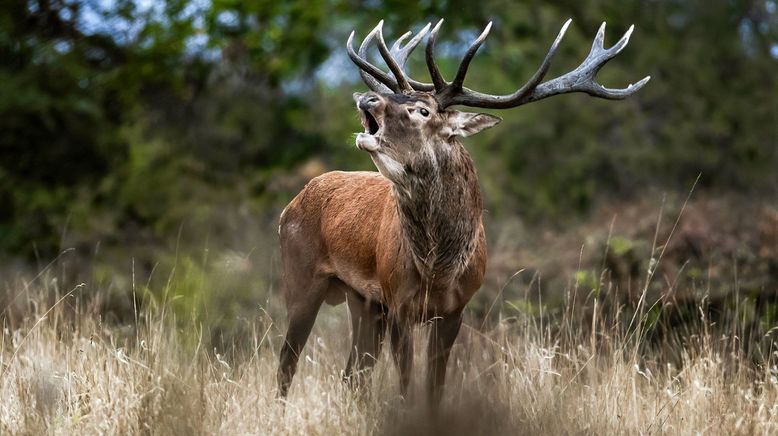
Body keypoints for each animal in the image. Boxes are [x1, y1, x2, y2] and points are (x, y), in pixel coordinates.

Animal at [276, 17, 644, 406]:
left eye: (422, 110)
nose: (366, 97)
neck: (438, 270)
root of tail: (291, 204)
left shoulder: (455, 310)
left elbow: (434, 387)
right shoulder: (400, 304)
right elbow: (406, 384)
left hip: (362, 301)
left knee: (351, 375)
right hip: (302, 279)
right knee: (288, 362)